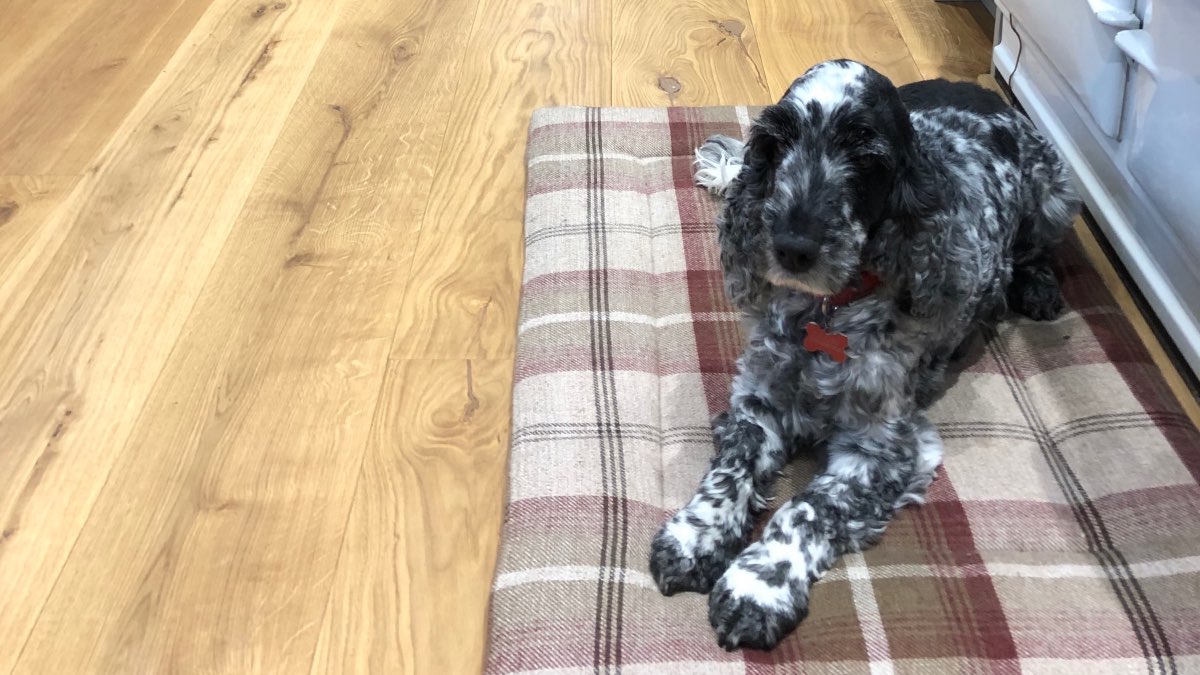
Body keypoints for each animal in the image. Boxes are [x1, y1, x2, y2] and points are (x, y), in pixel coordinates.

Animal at [652, 60, 1084, 648]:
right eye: (777, 143)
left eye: (866, 158)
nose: (791, 247)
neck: (827, 315)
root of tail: (972, 87)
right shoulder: (758, 402)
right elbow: (730, 469)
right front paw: (697, 536)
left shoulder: (883, 450)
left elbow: (808, 508)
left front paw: (759, 586)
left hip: (1056, 196)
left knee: (1038, 250)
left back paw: (1037, 288)